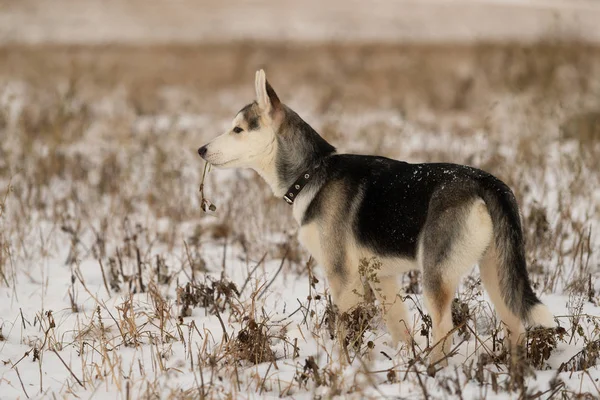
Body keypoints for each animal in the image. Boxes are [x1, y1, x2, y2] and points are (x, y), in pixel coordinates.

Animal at [198, 69, 556, 366]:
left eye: (238, 129)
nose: (201, 149)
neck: (312, 173)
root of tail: (486, 182)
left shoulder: (344, 279)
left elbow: (345, 331)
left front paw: (345, 368)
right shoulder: (383, 279)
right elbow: (400, 329)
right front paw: (399, 361)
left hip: (436, 274)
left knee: (444, 329)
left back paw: (433, 372)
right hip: (497, 273)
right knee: (515, 324)